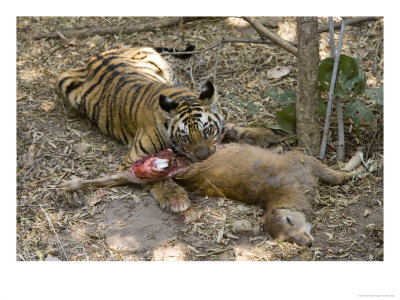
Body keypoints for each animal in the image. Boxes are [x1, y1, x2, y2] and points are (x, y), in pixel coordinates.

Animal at [56, 45, 276, 212]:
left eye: (207, 131)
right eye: (186, 138)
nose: (205, 157)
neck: (181, 99)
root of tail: (98, 54)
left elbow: (230, 126)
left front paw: (261, 134)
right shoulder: (133, 159)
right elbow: (155, 176)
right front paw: (174, 197)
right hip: (63, 82)